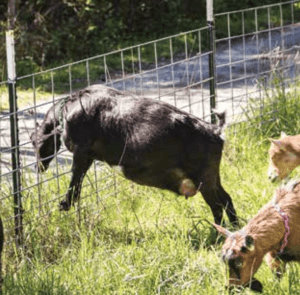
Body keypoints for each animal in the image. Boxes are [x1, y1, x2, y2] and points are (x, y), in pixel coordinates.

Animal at [30, 84, 237, 225]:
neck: (68, 110)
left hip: (203, 179)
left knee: (217, 206)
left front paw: (64, 205)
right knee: (226, 199)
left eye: (33, 142)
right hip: (213, 176)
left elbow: (75, 178)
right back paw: (236, 229)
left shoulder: (82, 151)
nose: (37, 168)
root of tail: (215, 130)